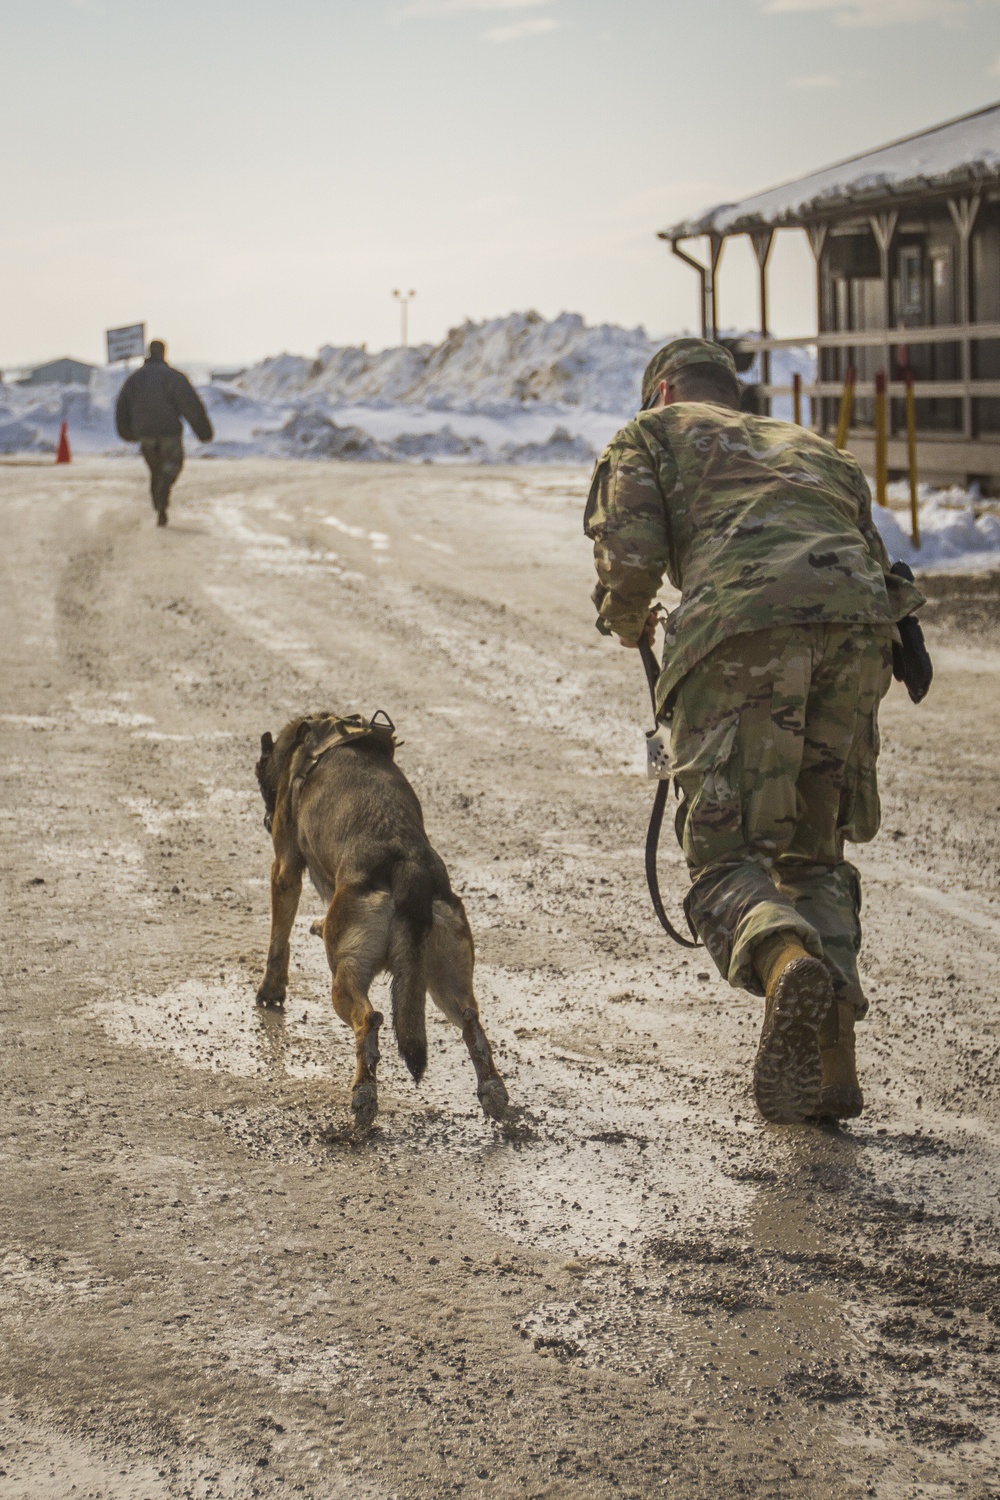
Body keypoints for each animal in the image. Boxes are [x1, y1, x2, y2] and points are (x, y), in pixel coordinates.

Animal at [254, 711, 512, 1128]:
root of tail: (410, 867)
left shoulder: (285, 867)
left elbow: (279, 939)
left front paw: (270, 990)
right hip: (445, 978)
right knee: (471, 1020)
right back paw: (493, 1092)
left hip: (346, 977)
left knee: (368, 1018)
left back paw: (364, 1095)